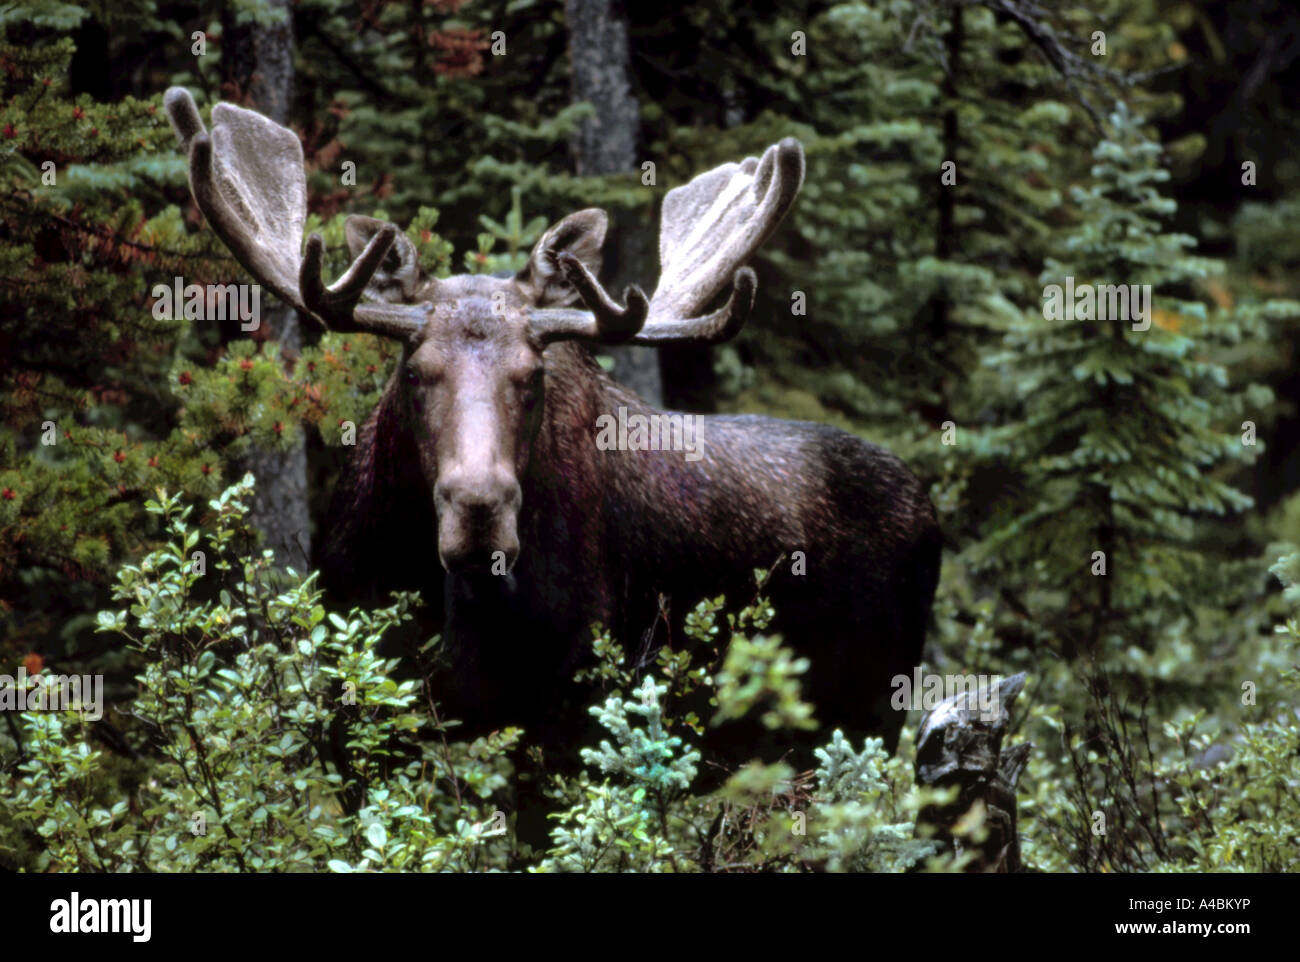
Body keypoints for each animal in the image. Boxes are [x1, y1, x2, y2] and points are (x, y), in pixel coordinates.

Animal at [163, 87, 942, 797]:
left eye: (533, 375)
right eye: (413, 371)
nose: (479, 509)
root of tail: (928, 503)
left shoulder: (571, 718)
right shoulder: (353, 719)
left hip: (875, 711)